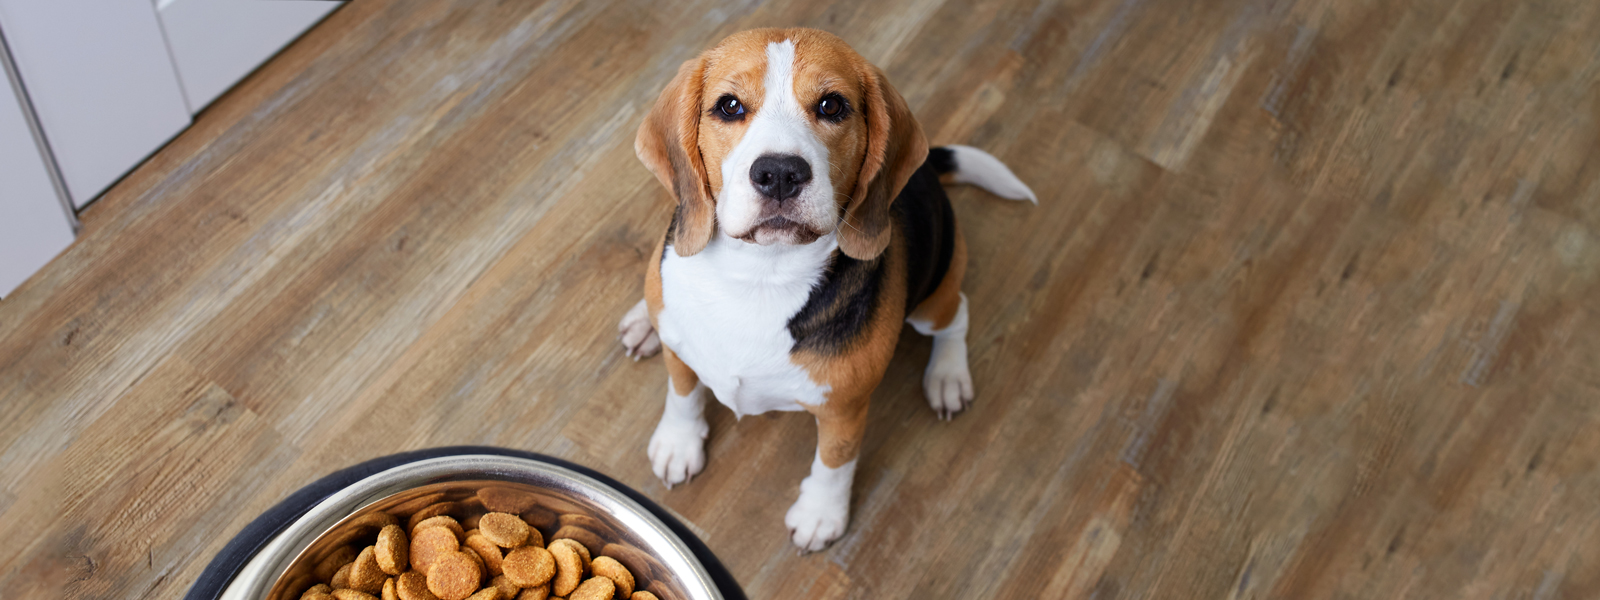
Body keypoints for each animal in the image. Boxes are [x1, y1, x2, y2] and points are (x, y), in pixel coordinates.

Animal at [611, 28, 1036, 553]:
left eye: (832, 106)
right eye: (729, 106)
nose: (778, 172)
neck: (759, 277)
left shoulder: (844, 408)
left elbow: (835, 461)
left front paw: (820, 515)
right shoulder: (681, 347)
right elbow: (683, 392)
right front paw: (678, 442)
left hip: (935, 295)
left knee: (958, 314)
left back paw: (948, 376)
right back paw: (641, 322)